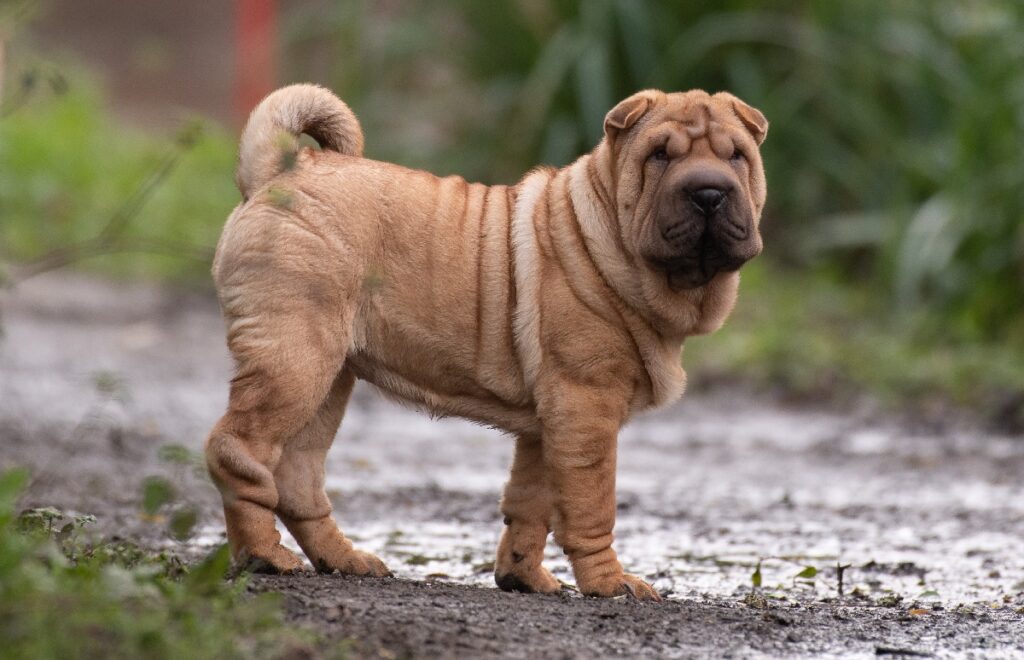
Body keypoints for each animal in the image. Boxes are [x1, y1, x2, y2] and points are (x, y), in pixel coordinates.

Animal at [207, 84, 765, 601]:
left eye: (736, 155)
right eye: (659, 155)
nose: (709, 192)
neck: (610, 239)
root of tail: (278, 173)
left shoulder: (551, 423)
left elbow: (531, 501)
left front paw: (523, 576)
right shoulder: (586, 407)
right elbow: (592, 505)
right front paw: (610, 582)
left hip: (329, 376)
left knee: (298, 476)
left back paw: (345, 559)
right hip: (294, 358)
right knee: (239, 451)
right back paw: (264, 556)